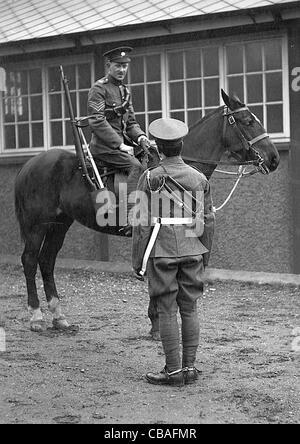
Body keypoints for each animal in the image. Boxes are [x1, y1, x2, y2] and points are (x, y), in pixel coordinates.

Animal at [14, 89, 280, 332]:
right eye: (248, 121)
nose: (274, 158)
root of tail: (30, 164)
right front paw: (157, 322)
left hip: (58, 225)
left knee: (47, 261)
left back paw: (59, 317)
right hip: (37, 226)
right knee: (29, 260)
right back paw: (36, 316)